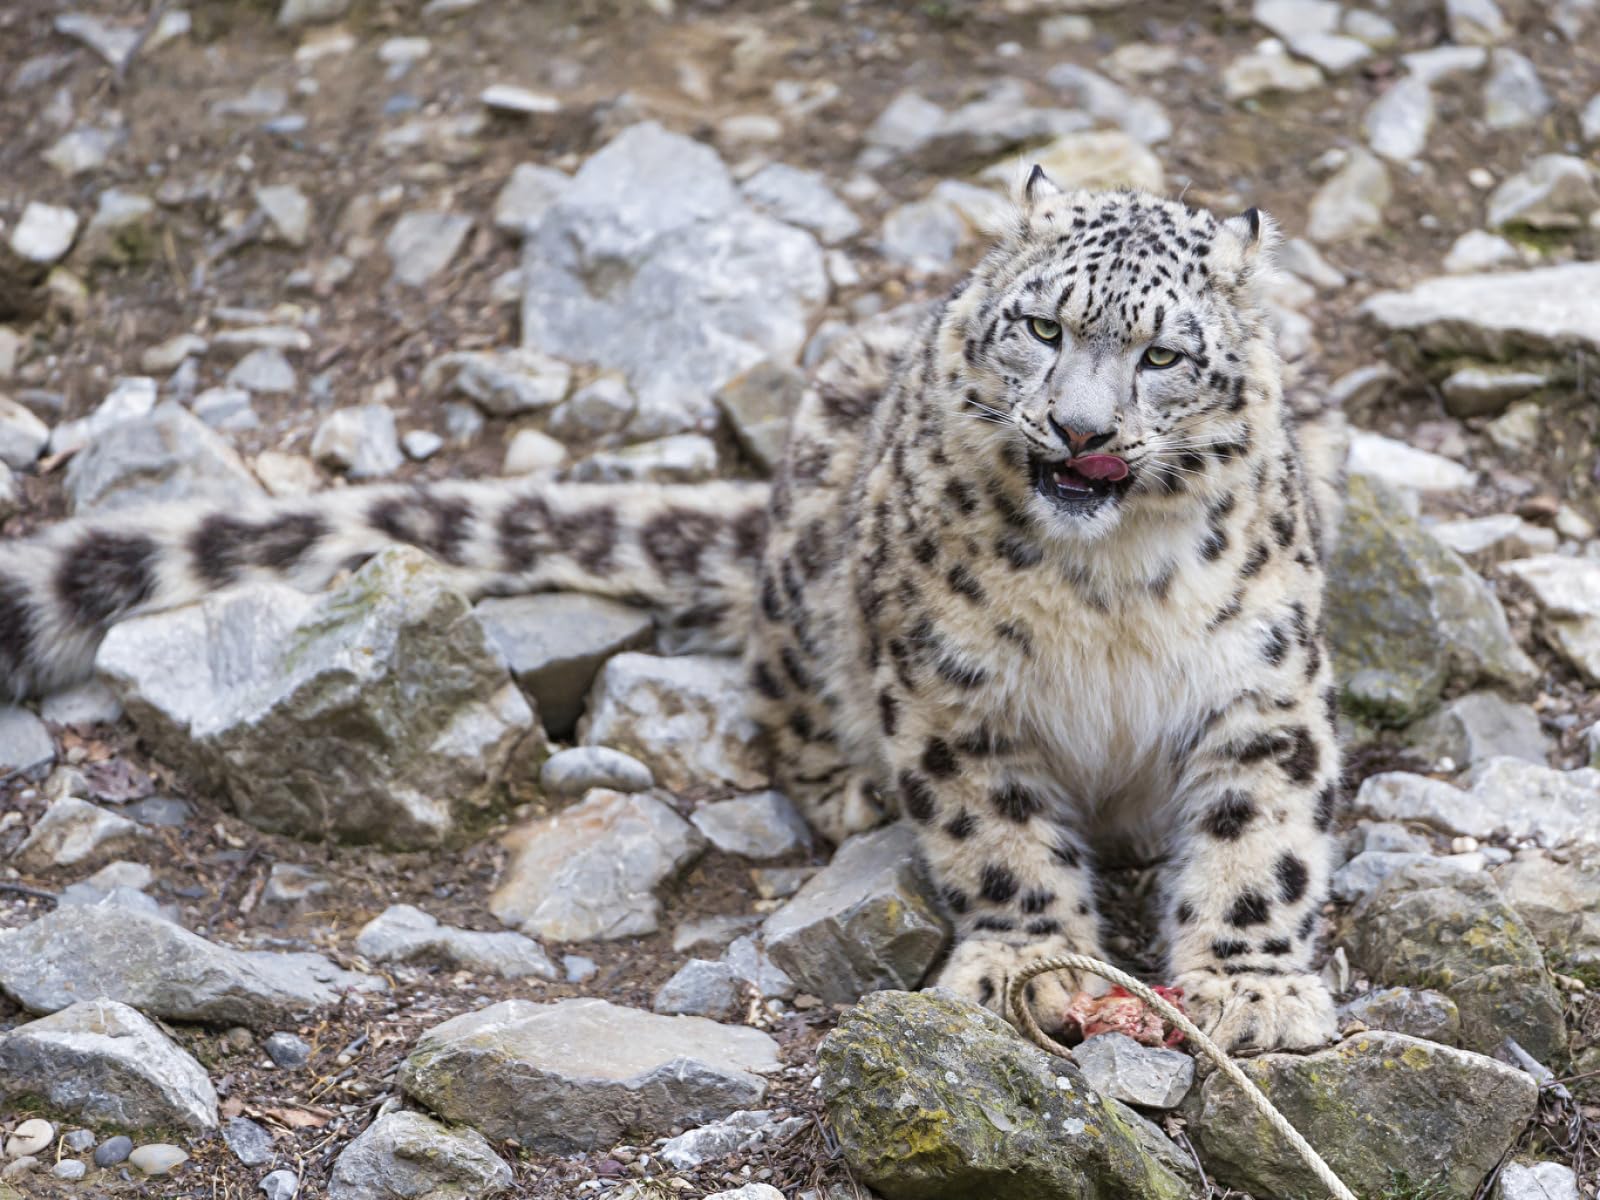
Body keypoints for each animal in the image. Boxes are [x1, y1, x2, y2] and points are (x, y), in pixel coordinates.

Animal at [0, 174, 1346, 1053]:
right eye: (1043, 326)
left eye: (1161, 357)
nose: (1076, 430)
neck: (1106, 588)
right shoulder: (953, 684)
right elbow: (998, 832)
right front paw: (1035, 960)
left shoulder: (1259, 681)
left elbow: (1257, 838)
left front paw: (1253, 987)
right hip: (818, 545)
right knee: (781, 674)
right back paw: (845, 784)